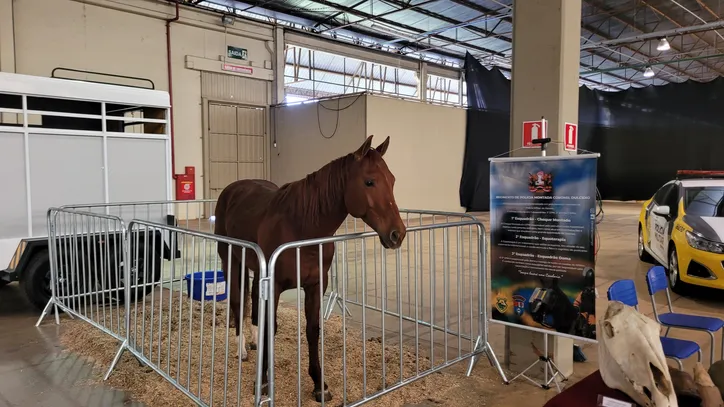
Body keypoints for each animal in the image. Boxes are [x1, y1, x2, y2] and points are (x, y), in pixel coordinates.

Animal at [214, 135, 408, 404]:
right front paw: (261, 383)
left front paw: (319, 385)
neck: (300, 226)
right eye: (369, 181)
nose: (397, 234)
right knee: (236, 301)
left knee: (252, 300)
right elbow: (270, 327)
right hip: (231, 260)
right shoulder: (274, 285)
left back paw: (253, 342)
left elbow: (312, 330)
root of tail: (232, 189)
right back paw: (241, 350)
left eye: (392, 180)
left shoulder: (316, 285)